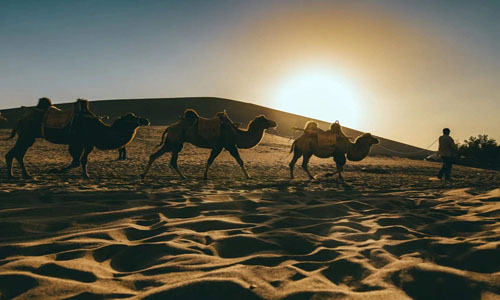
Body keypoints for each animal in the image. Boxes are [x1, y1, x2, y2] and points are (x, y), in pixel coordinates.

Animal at [4, 98, 149, 178]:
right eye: (131, 118)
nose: (146, 120)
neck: (98, 128)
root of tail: (19, 120)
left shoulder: (88, 143)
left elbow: (82, 160)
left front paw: (85, 175)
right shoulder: (77, 142)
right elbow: (76, 161)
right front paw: (56, 170)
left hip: (26, 137)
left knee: (12, 153)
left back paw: (12, 175)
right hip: (27, 136)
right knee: (18, 153)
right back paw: (26, 175)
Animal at [142, 110, 278, 180]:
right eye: (265, 119)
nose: (275, 123)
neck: (236, 134)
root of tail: (169, 127)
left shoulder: (221, 146)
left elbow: (210, 160)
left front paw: (205, 175)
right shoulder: (227, 145)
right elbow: (237, 160)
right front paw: (248, 176)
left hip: (176, 144)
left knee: (170, 160)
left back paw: (182, 176)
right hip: (173, 142)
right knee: (158, 157)